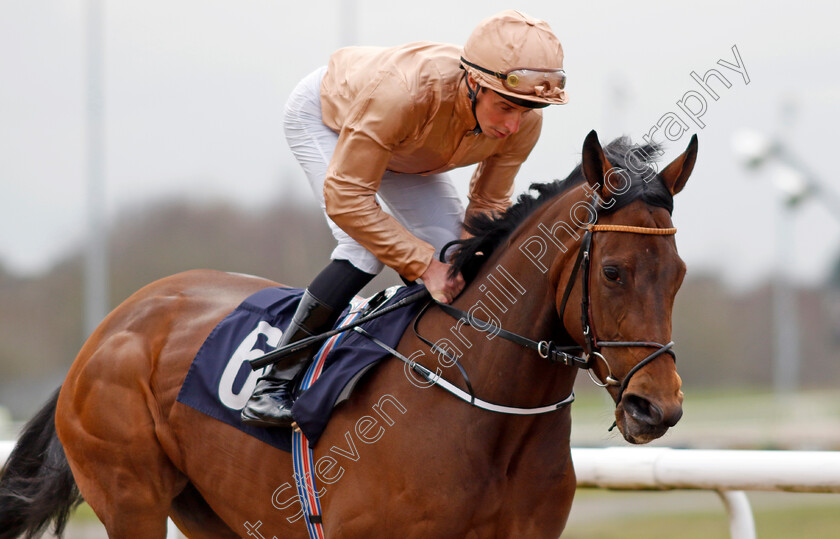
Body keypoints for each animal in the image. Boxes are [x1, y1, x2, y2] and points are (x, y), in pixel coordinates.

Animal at [0, 131, 696, 539]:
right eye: (613, 271)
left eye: (679, 275)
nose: (655, 407)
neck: (487, 413)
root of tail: (110, 326)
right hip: (129, 494)